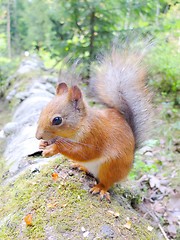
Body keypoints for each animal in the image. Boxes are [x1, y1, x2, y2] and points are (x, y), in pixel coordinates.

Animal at [36, 46, 152, 201]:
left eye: (57, 120)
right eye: (42, 110)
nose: (38, 136)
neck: (81, 124)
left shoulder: (95, 136)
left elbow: (84, 152)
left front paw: (53, 148)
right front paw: (43, 144)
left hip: (110, 167)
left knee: (106, 182)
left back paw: (100, 188)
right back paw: (80, 166)